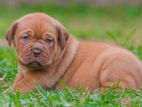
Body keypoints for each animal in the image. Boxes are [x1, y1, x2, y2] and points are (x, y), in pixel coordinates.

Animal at [5, 12, 142, 93]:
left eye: (49, 40)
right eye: (25, 37)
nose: (37, 50)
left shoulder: (40, 77)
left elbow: (19, 86)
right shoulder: (22, 75)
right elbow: (15, 82)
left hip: (113, 67)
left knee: (121, 89)